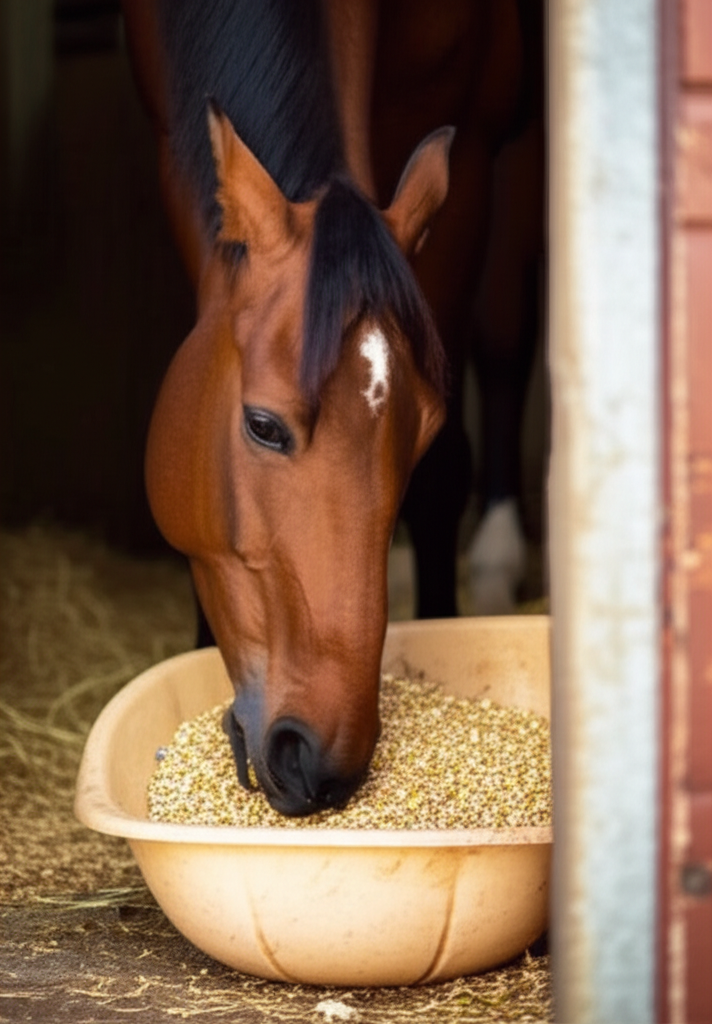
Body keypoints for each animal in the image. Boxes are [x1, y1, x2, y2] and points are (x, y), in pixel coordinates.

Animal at [121, 0, 544, 815]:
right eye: (262, 425)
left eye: (421, 439)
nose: (316, 759)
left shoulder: (471, 139)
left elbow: (446, 477)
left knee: (508, 340)